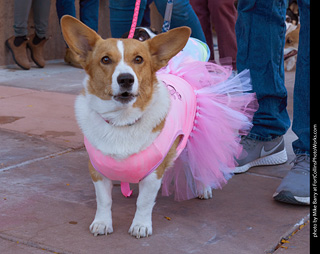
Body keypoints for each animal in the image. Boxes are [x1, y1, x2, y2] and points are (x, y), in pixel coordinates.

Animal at [60, 15, 258, 238]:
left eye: (139, 59)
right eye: (105, 60)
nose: (126, 79)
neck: (122, 120)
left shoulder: (153, 175)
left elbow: (144, 202)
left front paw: (140, 225)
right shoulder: (98, 172)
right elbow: (104, 200)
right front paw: (102, 222)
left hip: (197, 136)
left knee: (202, 161)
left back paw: (203, 187)